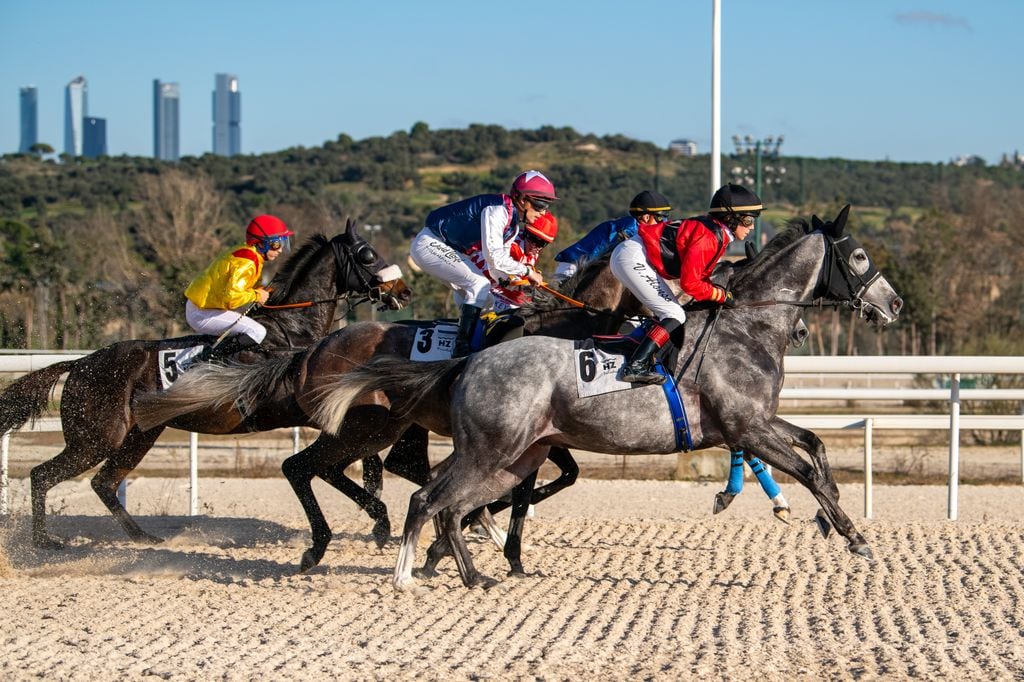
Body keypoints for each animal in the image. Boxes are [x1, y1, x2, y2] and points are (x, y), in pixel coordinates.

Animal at [0, 221, 412, 549]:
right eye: (368, 254)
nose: (404, 291)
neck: (291, 333)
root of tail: (80, 363)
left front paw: (375, 496)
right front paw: (375, 503)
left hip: (138, 436)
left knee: (103, 483)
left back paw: (143, 538)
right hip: (97, 437)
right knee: (42, 475)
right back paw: (44, 541)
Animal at [133, 256, 644, 571]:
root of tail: (314, 350)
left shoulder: (541, 433)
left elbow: (556, 477)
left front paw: (488, 530)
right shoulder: (527, 430)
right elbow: (530, 486)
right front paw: (493, 535)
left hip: (384, 425)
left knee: (364, 467)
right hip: (372, 425)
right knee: (315, 465)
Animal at [310, 205, 905, 590]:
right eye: (857, 256)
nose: (894, 303)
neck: (746, 326)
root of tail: (470, 361)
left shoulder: (756, 422)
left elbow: (818, 449)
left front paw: (830, 521)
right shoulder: (747, 427)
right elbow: (805, 471)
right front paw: (852, 535)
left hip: (513, 456)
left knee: (450, 504)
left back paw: (467, 573)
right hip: (490, 450)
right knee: (428, 499)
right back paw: (411, 573)